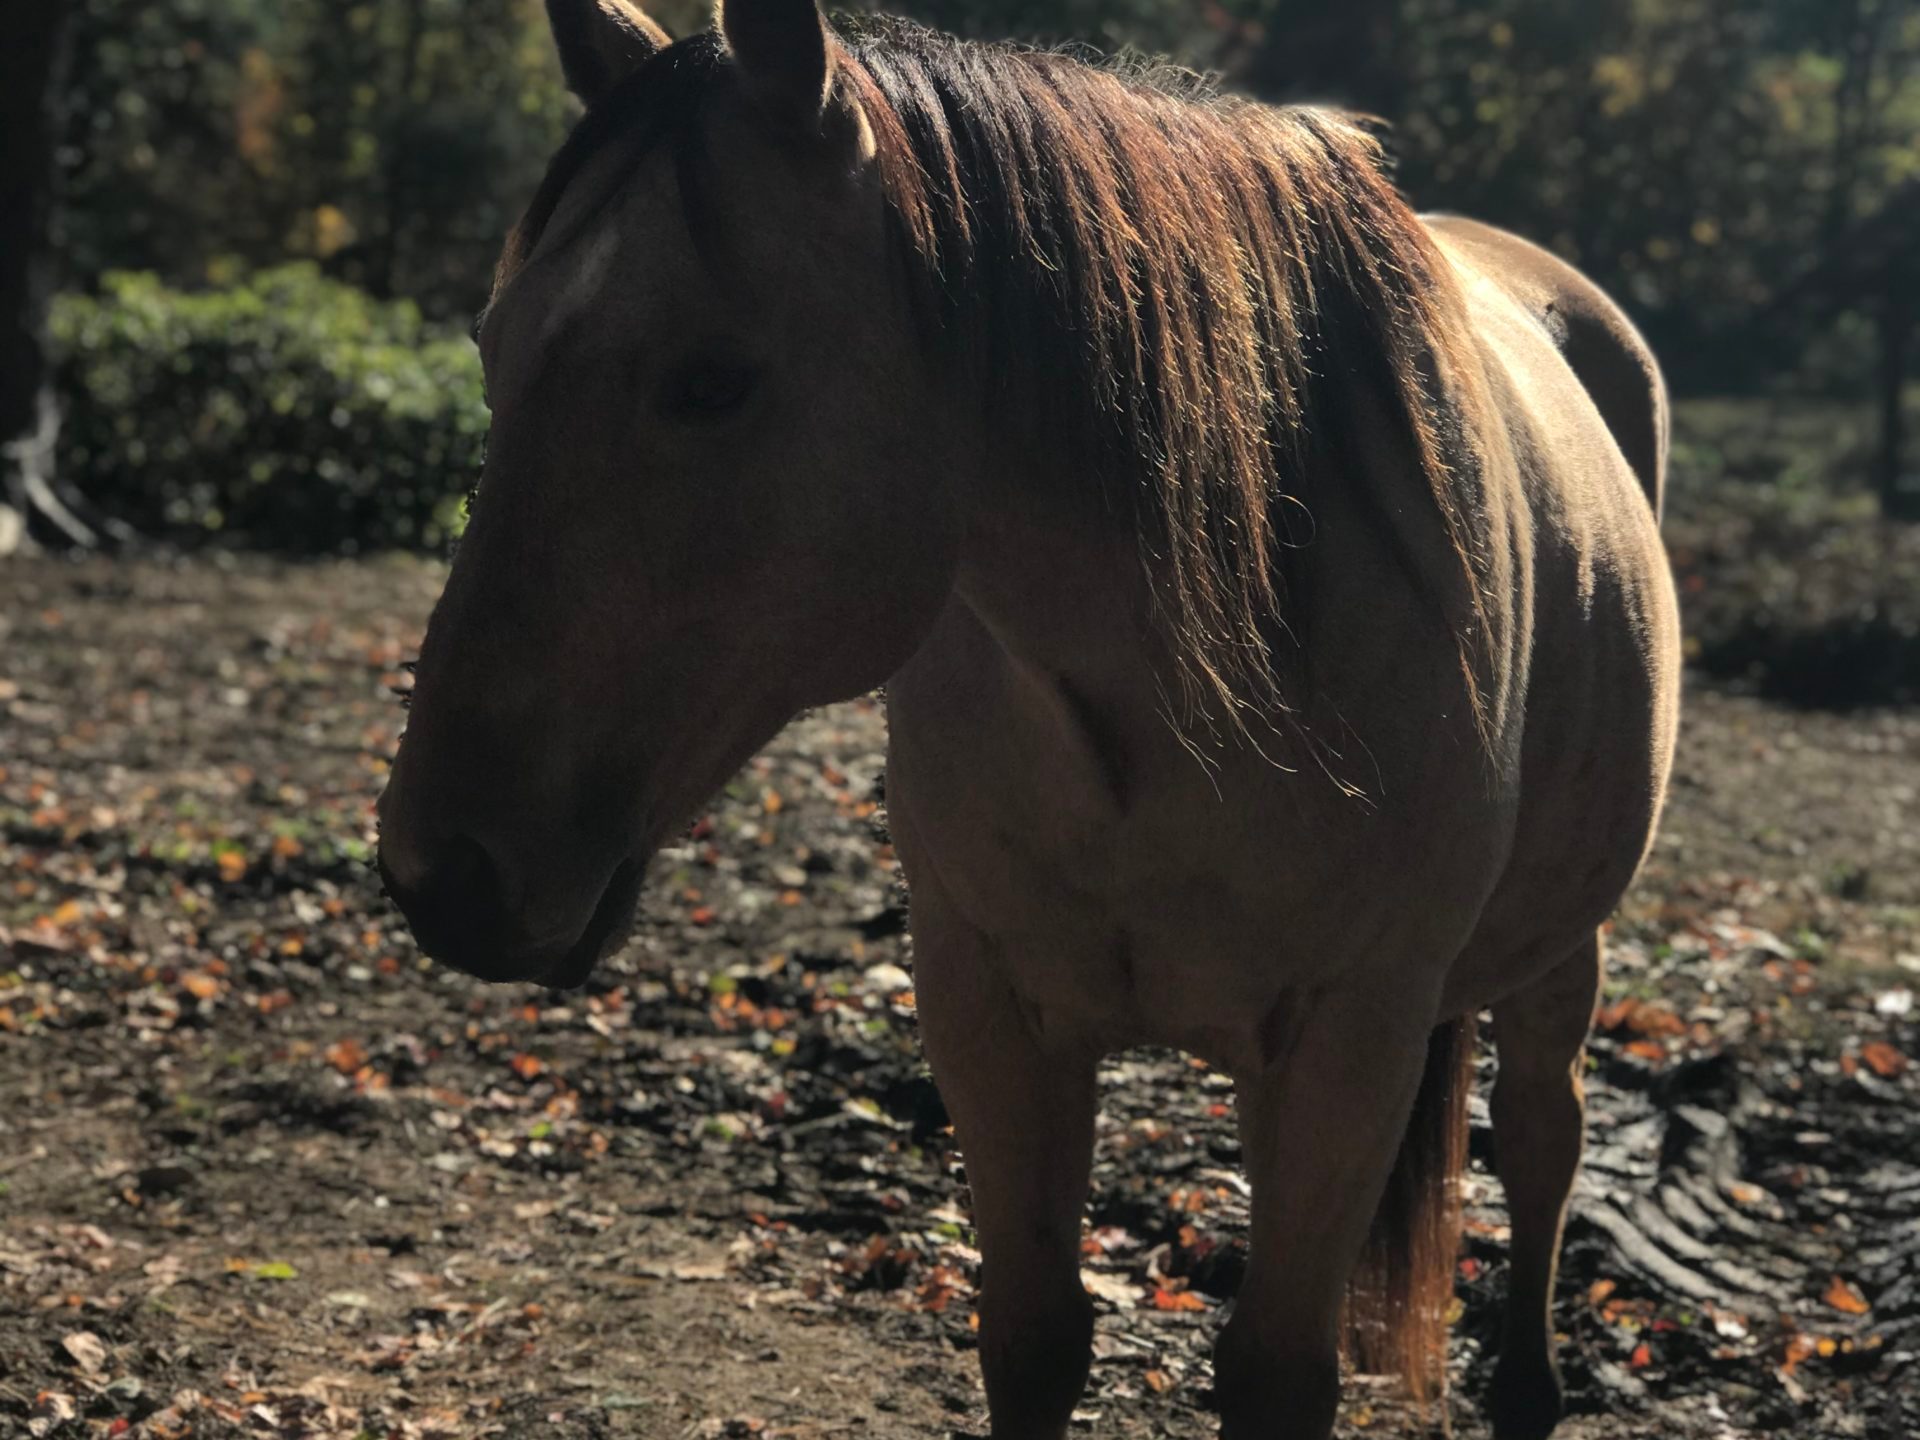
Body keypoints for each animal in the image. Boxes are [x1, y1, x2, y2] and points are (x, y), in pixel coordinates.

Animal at [376, 3, 1681, 1436]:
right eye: (492, 349)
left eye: (713, 380)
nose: (441, 872)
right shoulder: (989, 1003)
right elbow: (1036, 1337)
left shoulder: (1354, 1039)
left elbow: (1278, 1372)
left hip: (1559, 957)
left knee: (1546, 1140)